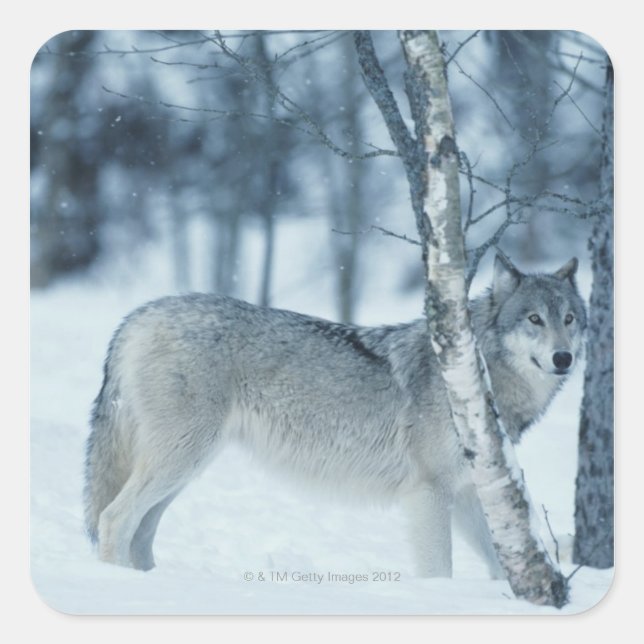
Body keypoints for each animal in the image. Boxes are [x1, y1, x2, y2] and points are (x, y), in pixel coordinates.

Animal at [84, 252, 586, 578]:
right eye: (534, 319)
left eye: (569, 318)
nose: (563, 358)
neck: (475, 376)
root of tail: (138, 315)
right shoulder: (429, 492)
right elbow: (439, 571)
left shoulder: (464, 495)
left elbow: (505, 566)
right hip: (180, 460)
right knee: (113, 518)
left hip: (186, 467)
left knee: (141, 531)